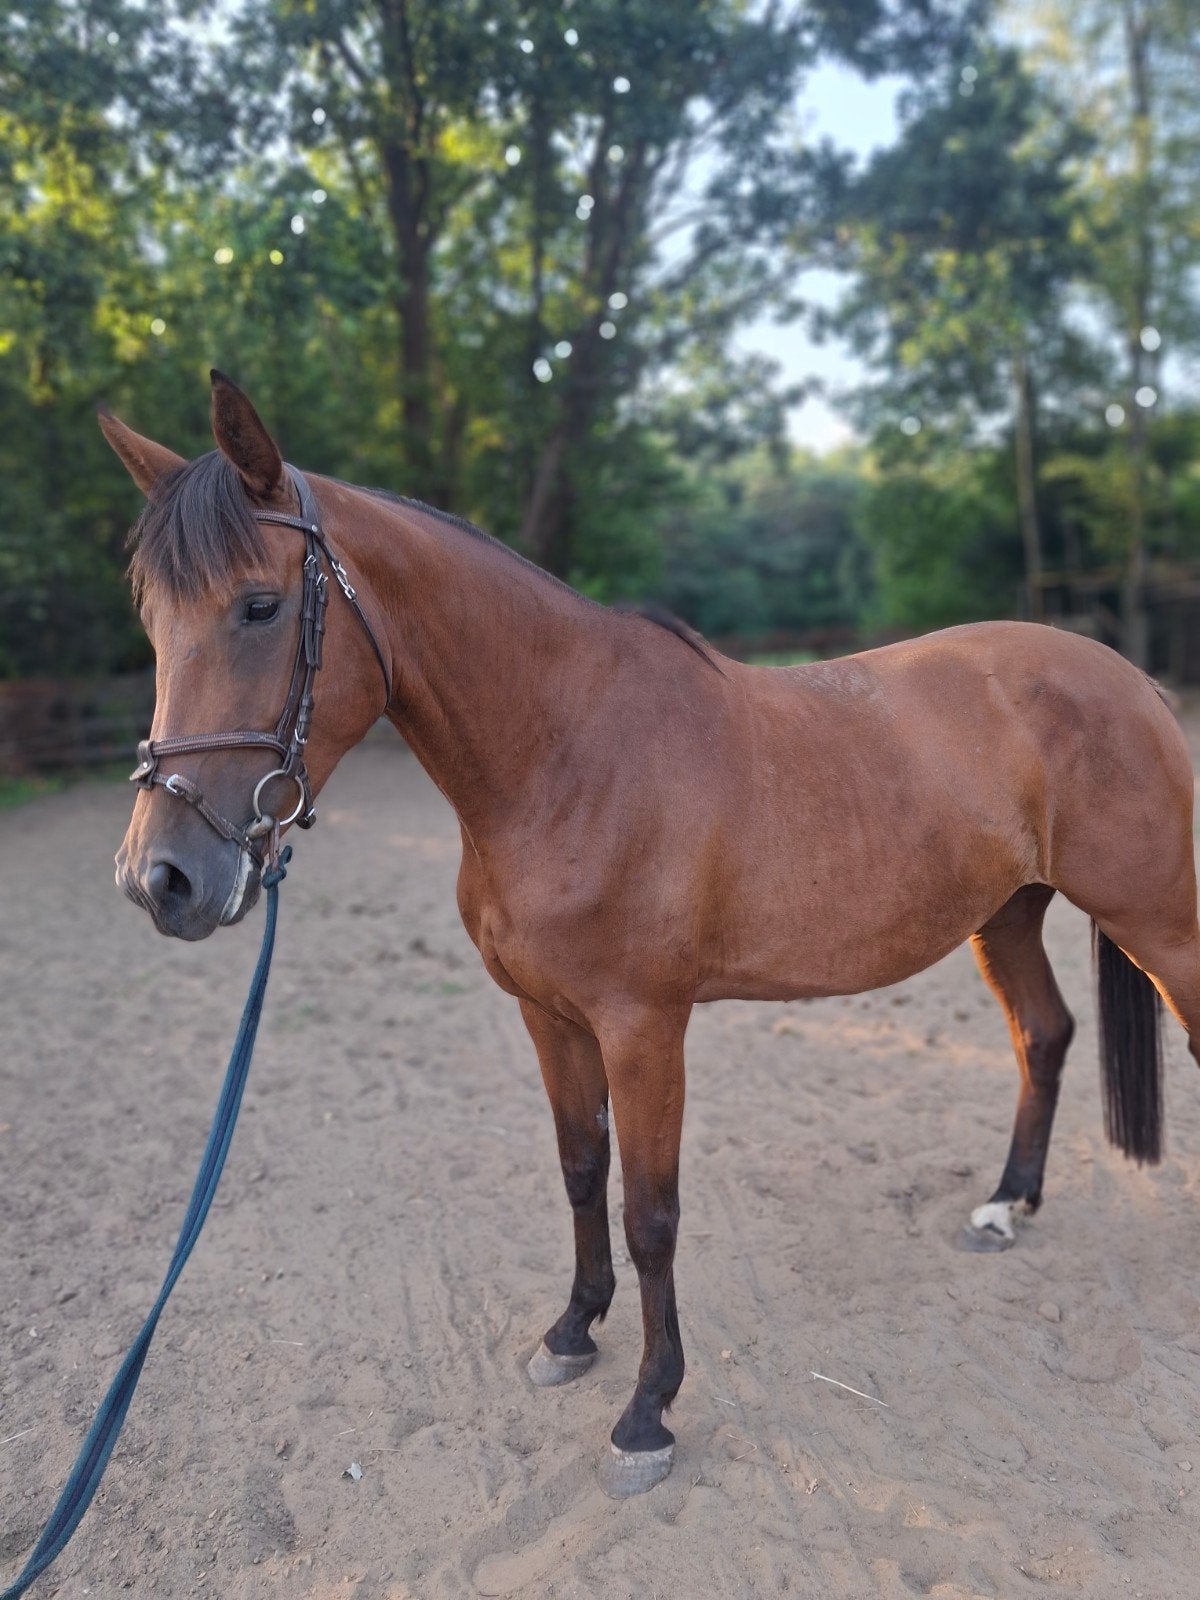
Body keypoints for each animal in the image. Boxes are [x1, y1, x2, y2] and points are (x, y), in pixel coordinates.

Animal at [100, 370, 1200, 1498]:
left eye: (260, 605)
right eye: (152, 617)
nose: (161, 878)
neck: (569, 752)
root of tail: (1130, 679)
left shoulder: (644, 1028)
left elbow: (650, 1214)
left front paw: (646, 1413)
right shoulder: (550, 1018)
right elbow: (582, 1170)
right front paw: (573, 1331)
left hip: (1163, 927)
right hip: (1007, 914)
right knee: (1044, 1034)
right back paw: (1005, 1207)